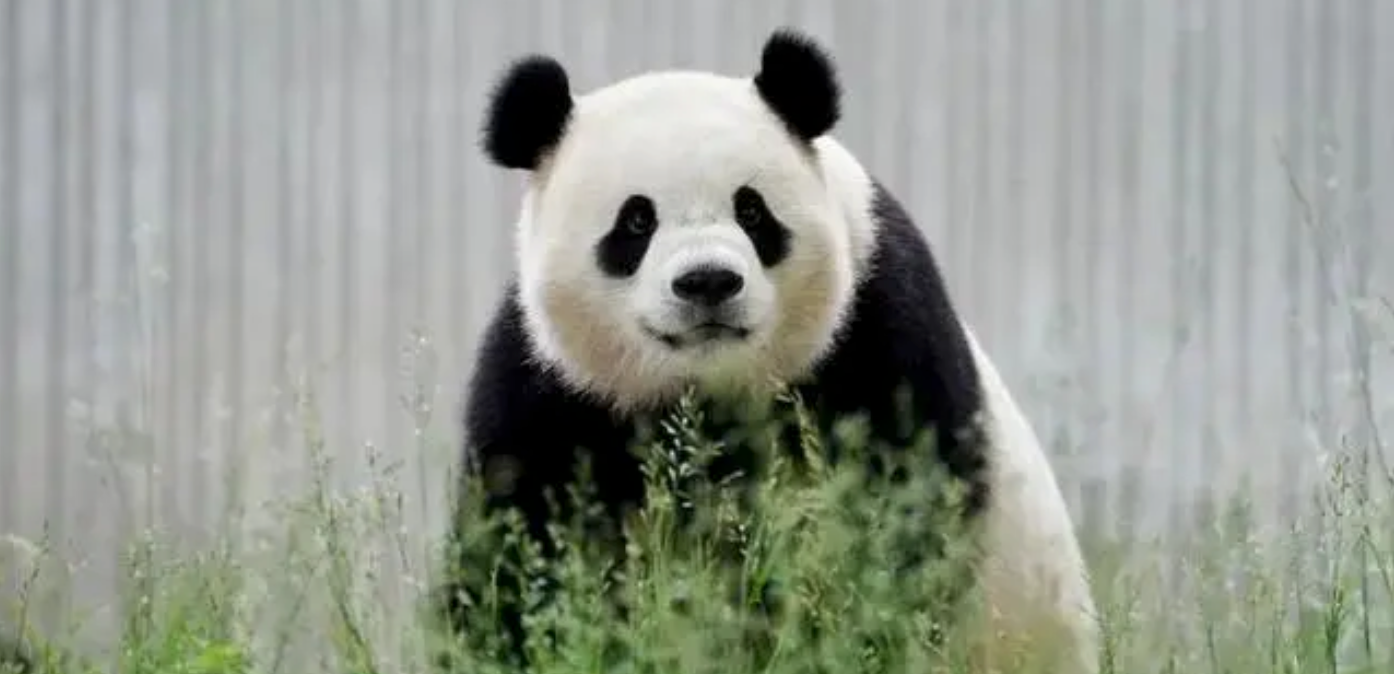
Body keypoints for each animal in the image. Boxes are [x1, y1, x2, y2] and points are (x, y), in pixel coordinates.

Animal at [440, 28, 1099, 673]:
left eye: (752, 210)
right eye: (636, 221)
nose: (708, 281)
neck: (707, 396)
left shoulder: (878, 331)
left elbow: (891, 523)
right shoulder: (550, 388)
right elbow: (520, 546)